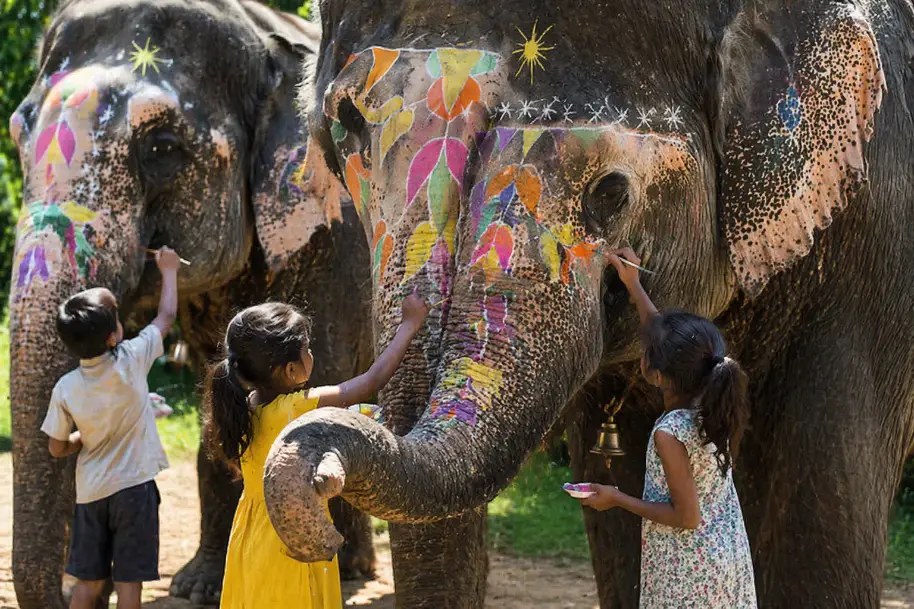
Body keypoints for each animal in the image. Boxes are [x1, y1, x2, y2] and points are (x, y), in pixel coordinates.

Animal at [7, 1, 376, 607]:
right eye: (18, 134)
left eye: (162, 150)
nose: (83, 585)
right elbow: (213, 401)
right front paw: (198, 586)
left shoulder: (334, 244)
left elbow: (327, 377)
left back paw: (353, 570)